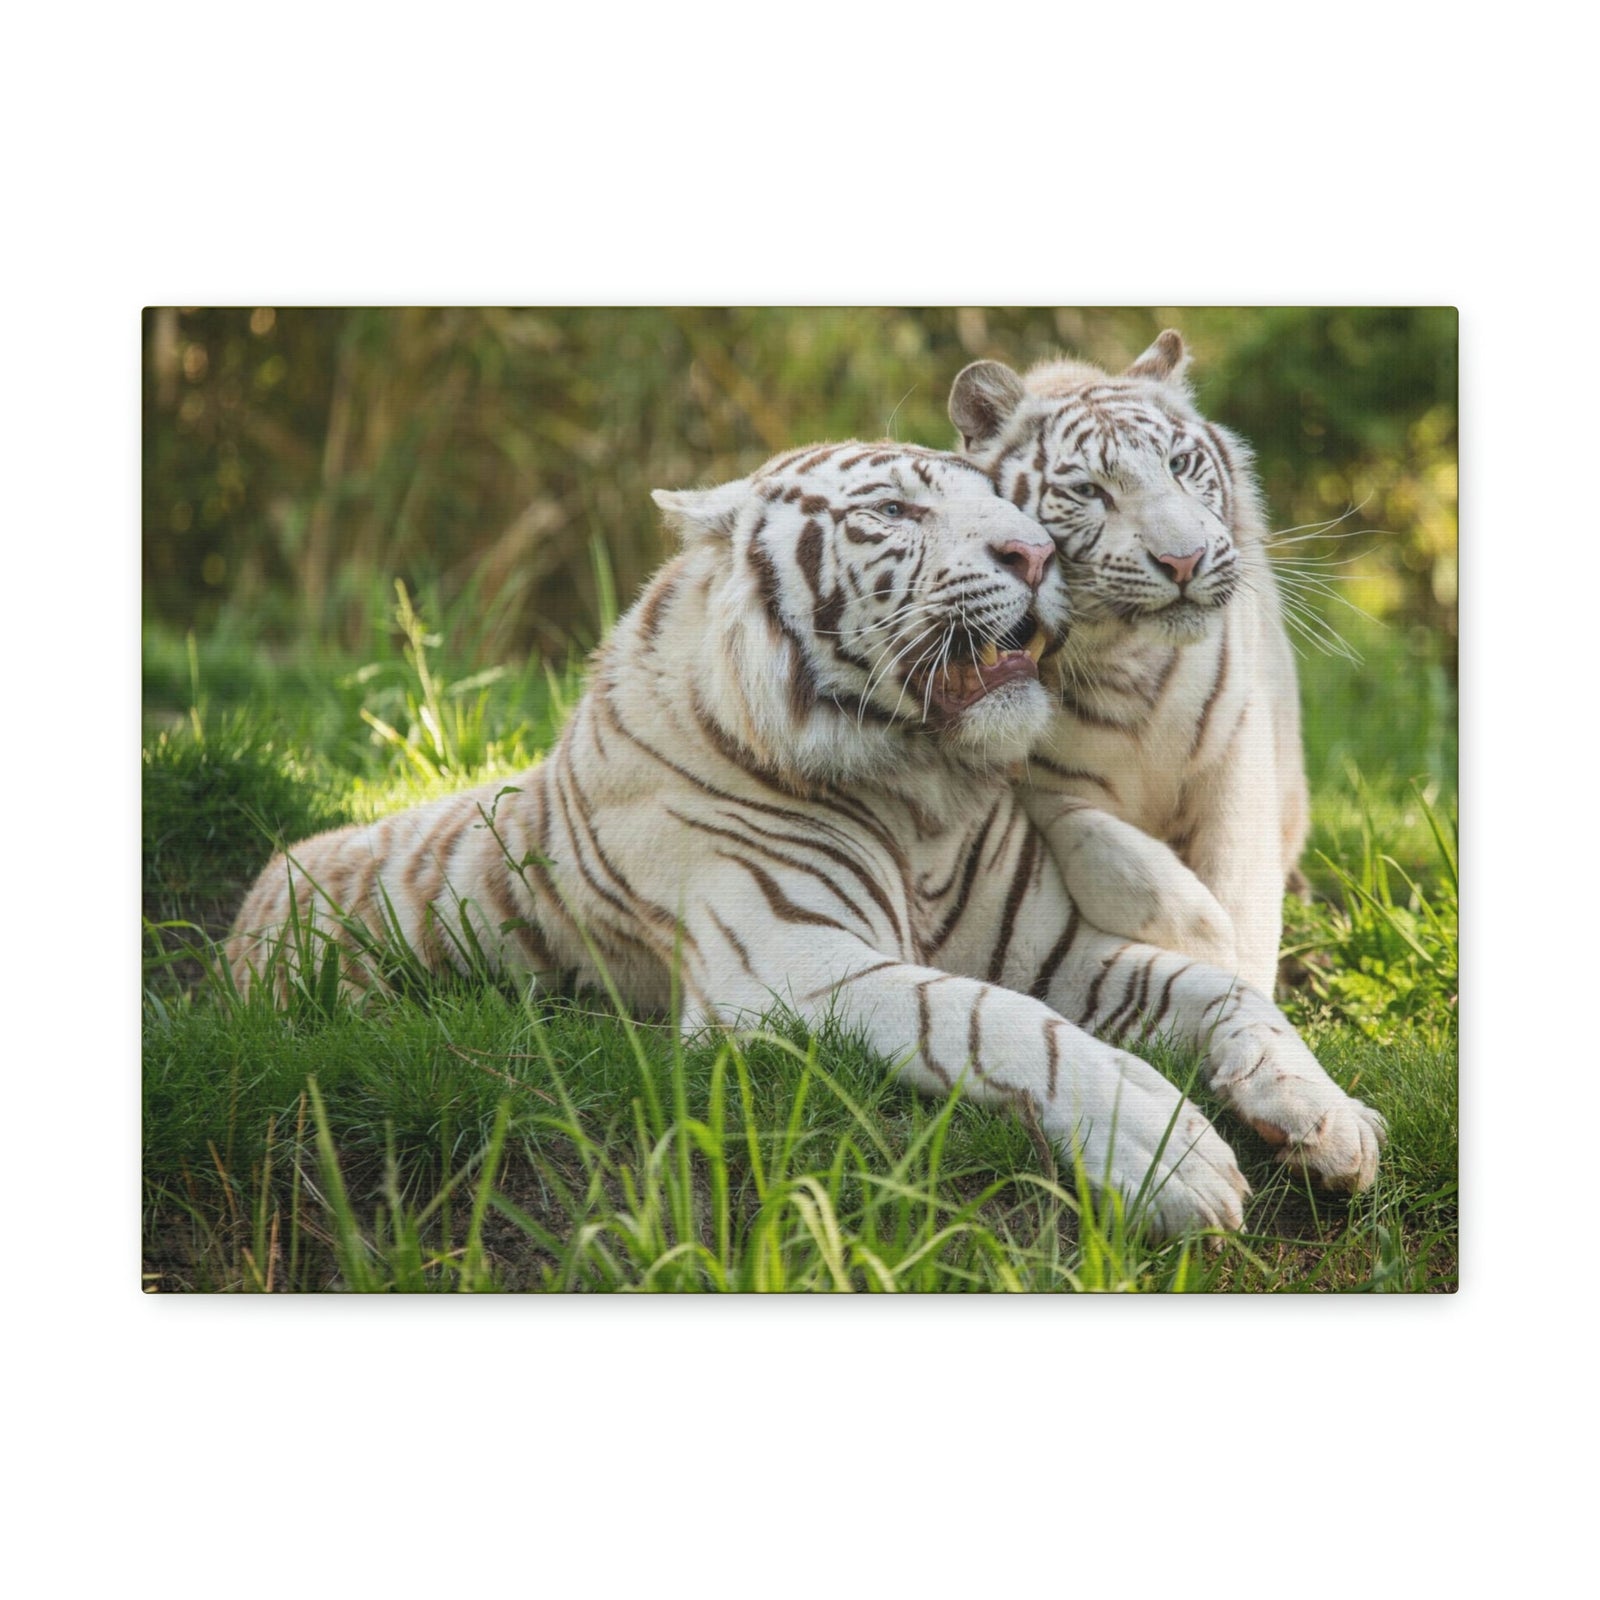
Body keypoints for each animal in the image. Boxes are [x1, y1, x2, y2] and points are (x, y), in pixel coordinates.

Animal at [228, 441, 1383, 1238]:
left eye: (1007, 502)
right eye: (894, 510)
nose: (1038, 550)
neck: (920, 796)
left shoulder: (1059, 949)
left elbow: (1227, 993)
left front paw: (1325, 1118)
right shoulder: (790, 967)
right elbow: (997, 1022)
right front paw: (1169, 1152)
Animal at [950, 330, 1308, 995]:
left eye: (1179, 465)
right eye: (1089, 492)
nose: (1185, 560)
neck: (1125, 660)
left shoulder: (1239, 749)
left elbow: (1243, 882)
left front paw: (1242, 968)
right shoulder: (1026, 775)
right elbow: (1112, 852)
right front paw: (1208, 942)